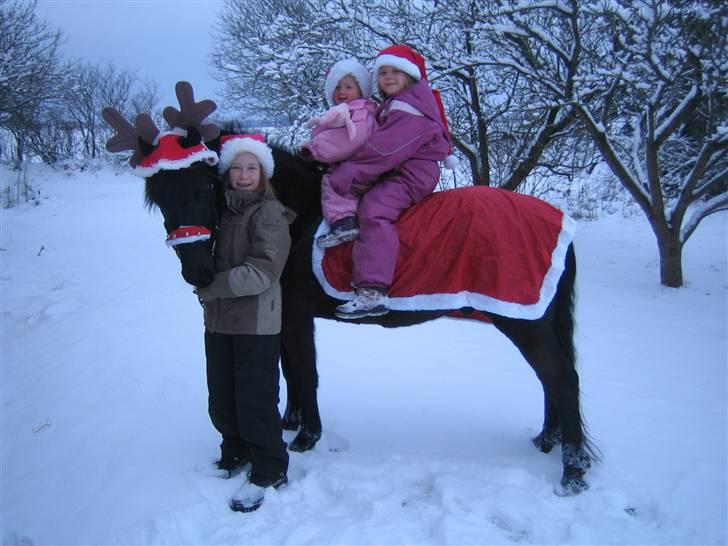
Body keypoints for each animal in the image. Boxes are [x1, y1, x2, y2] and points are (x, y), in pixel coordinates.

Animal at [102, 85, 596, 492]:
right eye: (158, 197)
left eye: (205, 187)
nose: (199, 273)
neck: (297, 214)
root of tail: (561, 223)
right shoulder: (285, 315)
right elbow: (289, 371)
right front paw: (290, 422)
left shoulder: (295, 315)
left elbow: (305, 372)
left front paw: (306, 437)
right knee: (552, 379)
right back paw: (548, 440)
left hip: (525, 323)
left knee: (562, 378)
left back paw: (572, 474)